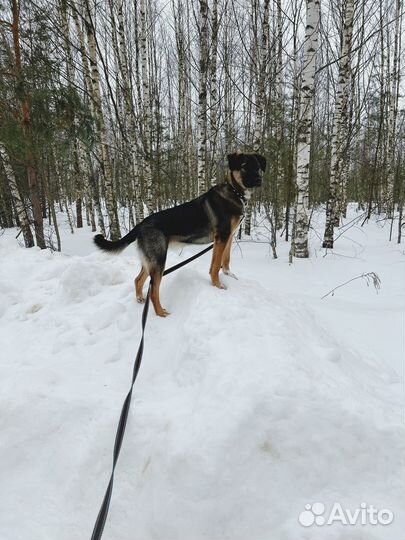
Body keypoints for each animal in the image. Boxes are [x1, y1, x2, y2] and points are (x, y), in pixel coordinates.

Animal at [94, 151, 266, 316]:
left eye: (257, 166)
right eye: (244, 166)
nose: (259, 180)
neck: (235, 191)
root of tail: (141, 224)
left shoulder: (228, 237)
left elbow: (226, 260)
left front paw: (229, 275)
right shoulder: (221, 238)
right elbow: (215, 266)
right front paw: (218, 286)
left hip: (150, 260)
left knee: (138, 280)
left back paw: (140, 299)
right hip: (159, 261)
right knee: (153, 291)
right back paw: (161, 313)